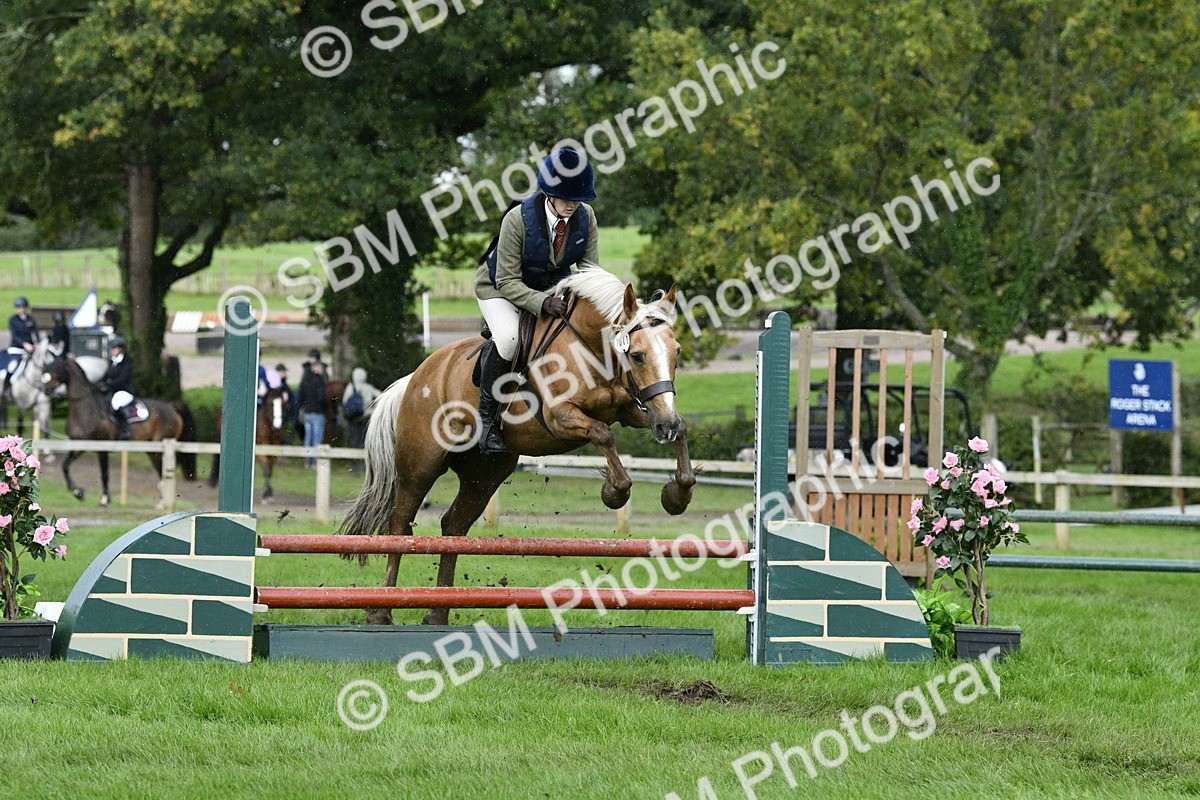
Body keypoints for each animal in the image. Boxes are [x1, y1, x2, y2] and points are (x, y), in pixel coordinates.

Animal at [41, 355, 197, 506]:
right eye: (49, 365)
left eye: (59, 366)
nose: (46, 388)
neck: (85, 408)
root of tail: (171, 406)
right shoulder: (78, 444)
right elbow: (65, 466)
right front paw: (78, 492)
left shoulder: (101, 447)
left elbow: (104, 474)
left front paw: (104, 500)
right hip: (152, 450)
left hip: (159, 448)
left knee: (164, 472)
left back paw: (162, 503)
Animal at [339, 268, 696, 625]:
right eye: (637, 355)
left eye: (676, 352)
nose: (664, 427)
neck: (592, 349)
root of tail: (416, 378)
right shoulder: (561, 416)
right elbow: (603, 434)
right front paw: (614, 492)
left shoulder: (635, 408)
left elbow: (679, 430)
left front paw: (676, 495)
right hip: (420, 466)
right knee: (399, 525)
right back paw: (381, 611)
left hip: (484, 474)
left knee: (453, 524)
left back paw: (438, 612)